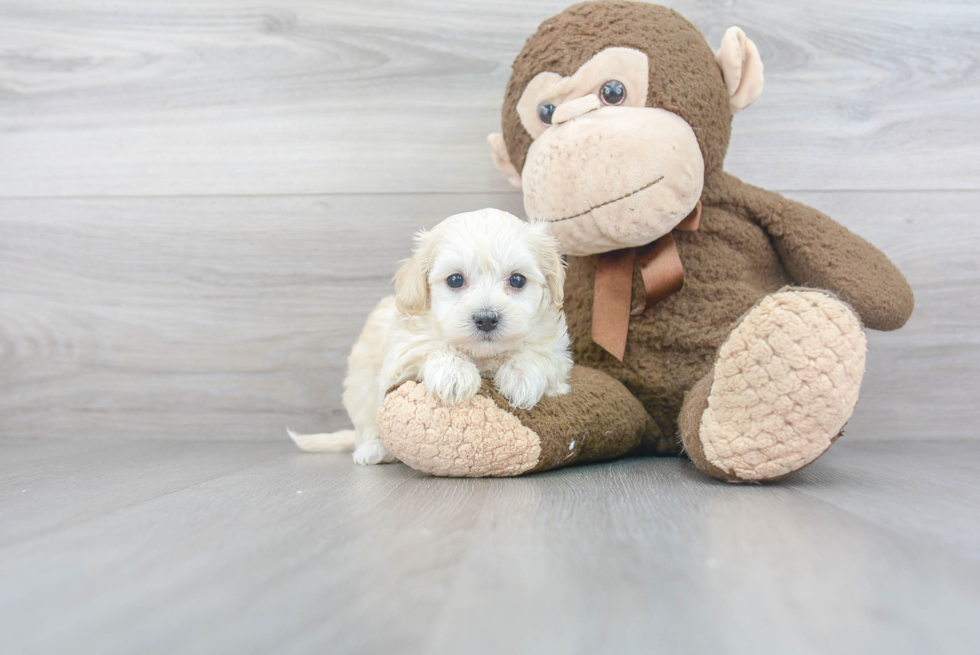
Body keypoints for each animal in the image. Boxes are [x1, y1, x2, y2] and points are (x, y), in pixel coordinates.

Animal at [288, 210, 572, 466]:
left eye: (517, 280)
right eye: (455, 280)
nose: (486, 318)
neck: (481, 355)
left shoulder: (556, 350)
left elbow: (538, 352)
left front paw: (521, 377)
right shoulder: (402, 351)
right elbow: (430, 345)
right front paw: (454, 374)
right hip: (362, 389)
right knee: (367, 426)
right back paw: (373, 449)